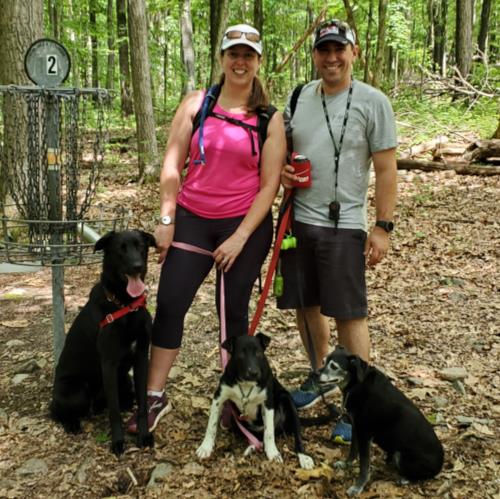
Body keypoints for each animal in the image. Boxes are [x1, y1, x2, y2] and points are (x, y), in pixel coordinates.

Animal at [50, 230, 156, 455]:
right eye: (120, 250)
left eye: (141, 247)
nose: (137, 266)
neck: (125, 305)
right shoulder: (109, 364)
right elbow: (114, 411)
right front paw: (118, 441)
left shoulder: (141, 358)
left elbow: (143, 403)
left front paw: (144, 435)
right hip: (77, 391)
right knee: (56, 411)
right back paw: (71, 423)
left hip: (124, 379)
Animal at [196, 333, 314, 469]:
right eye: (241, 354)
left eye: (258, 353)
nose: (254, 373)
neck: (247, 384)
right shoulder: (219, 397)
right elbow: (211, 425)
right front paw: (205, 447)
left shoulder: (267, 403)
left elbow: (269, 432)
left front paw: (273, 453)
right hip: (235, 420)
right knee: (255, 438)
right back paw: (251, 447)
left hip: (287, 400)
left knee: (295, 435)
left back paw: (304, 457)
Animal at [318, 346, 444, 496]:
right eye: (323, 361)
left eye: (334, 366)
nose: (314, 374)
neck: (357, 384)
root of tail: (441, 464)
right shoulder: (356, 428)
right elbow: (353, 450)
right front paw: (346, 464)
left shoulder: (364, 434)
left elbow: (364, 466)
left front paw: (357, 487)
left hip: (400, 455)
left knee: (421, 476)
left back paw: (404, 479)